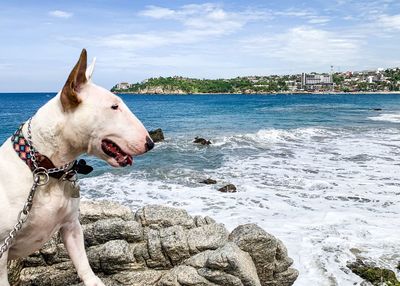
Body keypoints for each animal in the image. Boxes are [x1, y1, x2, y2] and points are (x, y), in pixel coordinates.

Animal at [0, 50, 153, 284]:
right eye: (114, 106)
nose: (150, 143)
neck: (46, 170)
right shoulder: (1, 249)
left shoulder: (72, 226)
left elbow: (83, 262)